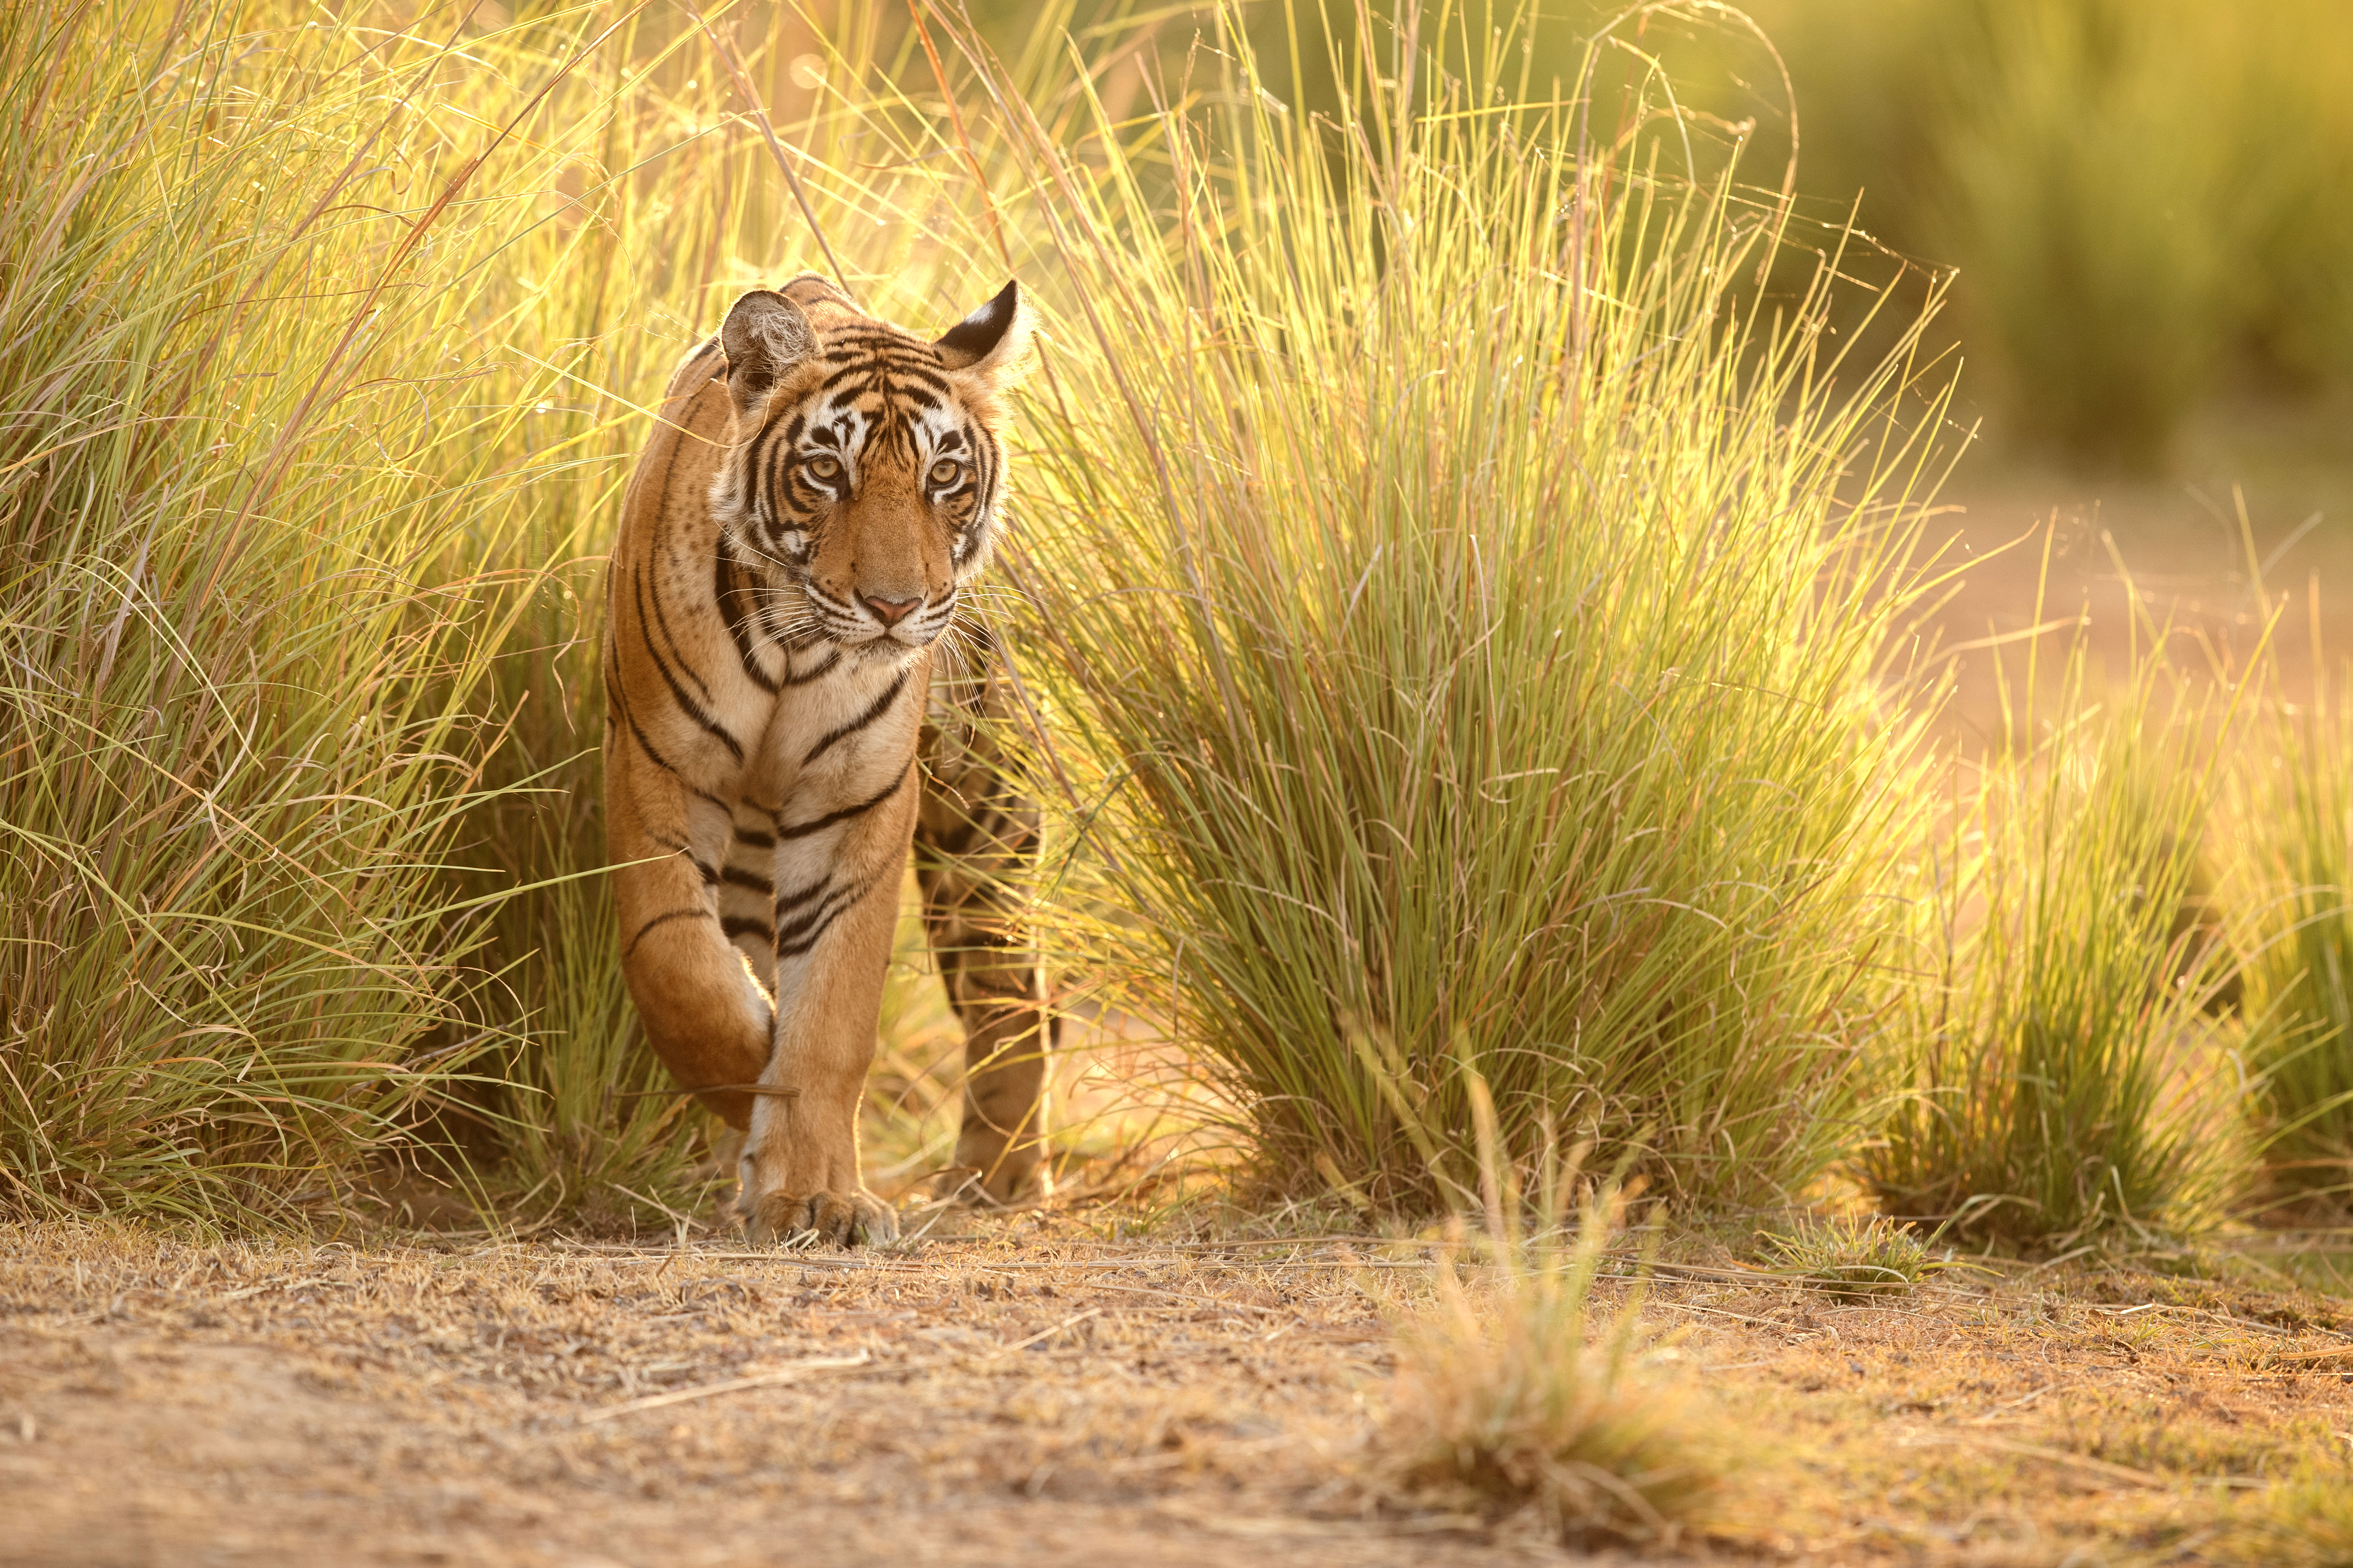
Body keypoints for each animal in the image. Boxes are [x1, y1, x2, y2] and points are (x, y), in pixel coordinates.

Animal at [602, 272, 1050, 1247]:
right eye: (825, 471)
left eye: (943, 476)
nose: (895, 606)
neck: (794, 645)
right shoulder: (659, 766)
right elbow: (681, 970)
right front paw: (755, 1087)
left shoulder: (857, 800)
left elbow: (834, 1011)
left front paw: (816, 1195)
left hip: (984, 821)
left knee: (1014, 995)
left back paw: (993, 1178)